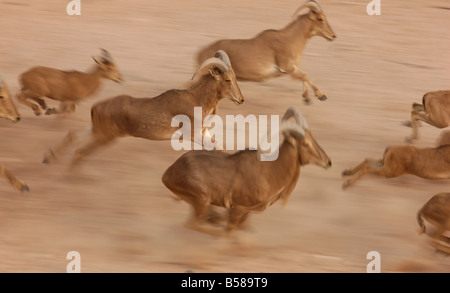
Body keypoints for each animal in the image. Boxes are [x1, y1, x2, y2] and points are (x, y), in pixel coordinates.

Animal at [195, 0, 336, 104]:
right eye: (320, 19)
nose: (333, 36)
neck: (291, 39)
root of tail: (200, 53)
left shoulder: (291, 68)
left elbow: (304, 76)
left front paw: (306, 98)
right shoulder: (286, 67)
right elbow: (306, 76)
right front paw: (321, 96)